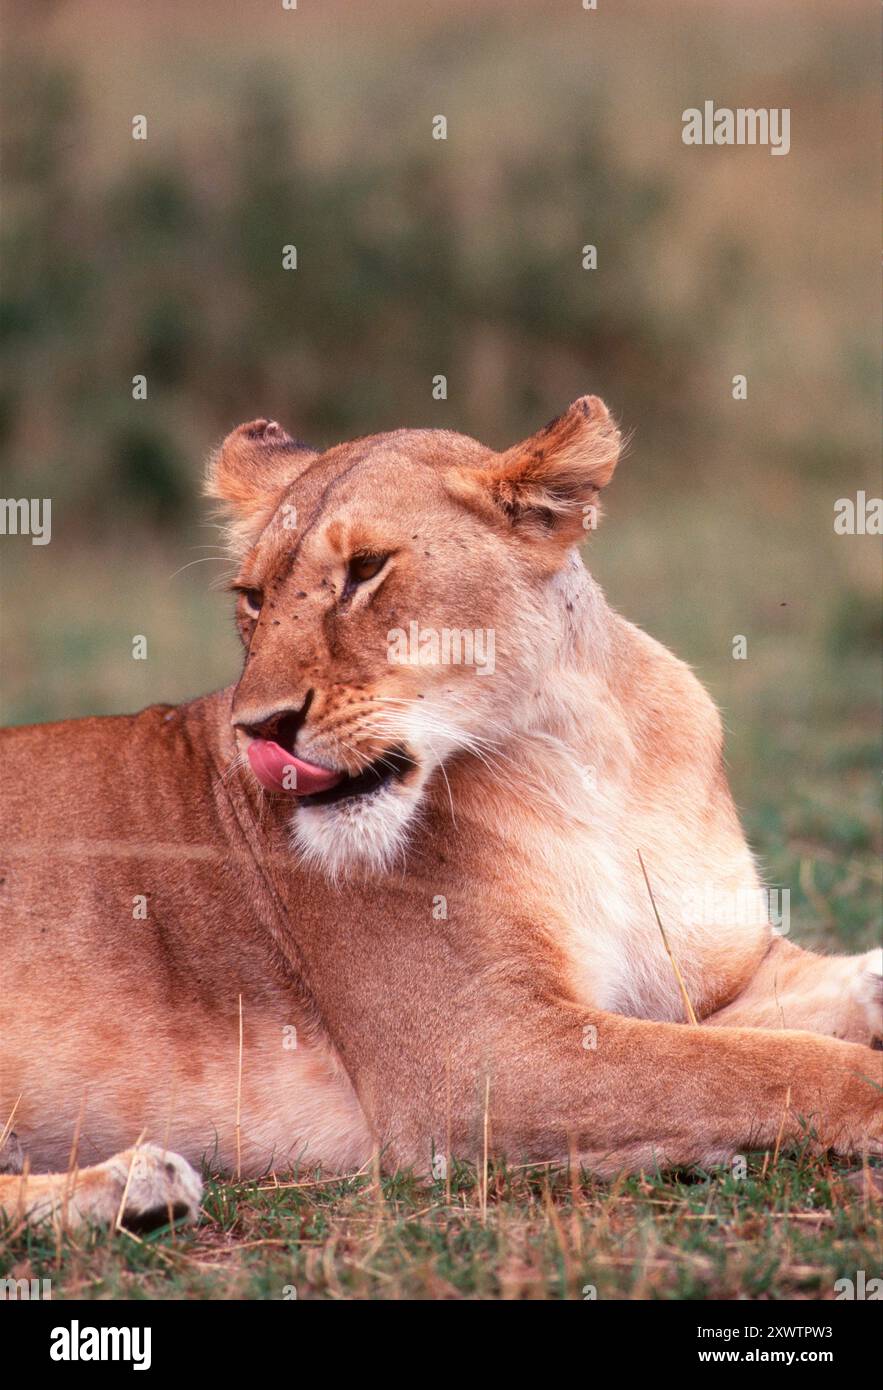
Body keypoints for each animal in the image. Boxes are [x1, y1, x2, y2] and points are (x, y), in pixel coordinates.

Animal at [1, 398, 880, 1229]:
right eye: (253, 597)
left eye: (365, 570)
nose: (257, 729)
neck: (579, 756)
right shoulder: (478, 1053)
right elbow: (770, 1065)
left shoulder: (720, 977)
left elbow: (806, 1011)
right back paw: (132, 1185)